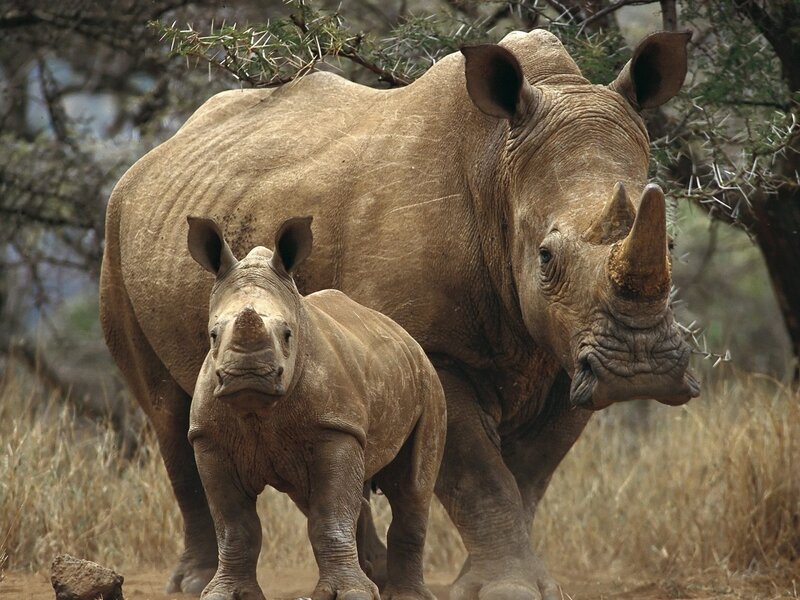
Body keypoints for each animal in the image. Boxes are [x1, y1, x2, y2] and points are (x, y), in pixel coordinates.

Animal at [186, 215, 445, 600]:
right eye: (213, 335)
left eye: (288, 334)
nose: (248, 375)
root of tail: (404, 335)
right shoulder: (209, 439)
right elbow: (235, 528)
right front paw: (223, 594)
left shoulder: (335, 427)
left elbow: (330, 517)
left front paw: (351, 594)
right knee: (319, 497)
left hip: (430, 382)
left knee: (411, 488)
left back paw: (404, 594)